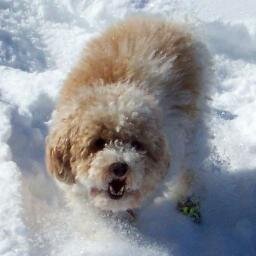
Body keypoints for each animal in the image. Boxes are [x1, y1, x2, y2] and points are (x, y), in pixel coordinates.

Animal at [45, 16, 208, 215]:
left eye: (136, 144)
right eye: (98, 143)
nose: (120, 166)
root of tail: (170, 22)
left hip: (192, 129)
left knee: (190, 167)